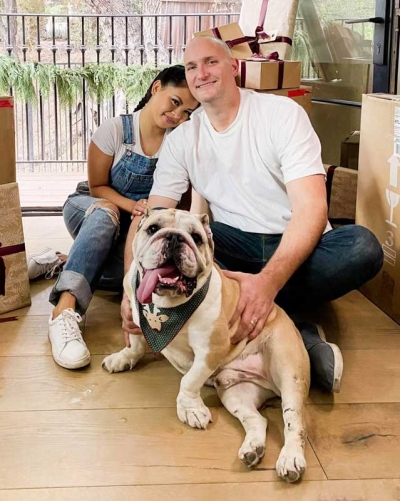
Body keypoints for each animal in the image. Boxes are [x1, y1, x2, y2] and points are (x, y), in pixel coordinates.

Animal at [102, 207, 310, 480]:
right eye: (153, 229)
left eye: (196, 238)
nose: (174, 237)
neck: (167, 306)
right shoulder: (134, 311)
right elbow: (135, 343)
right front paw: (124, 357)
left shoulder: (211, 350)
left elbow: (190, 380)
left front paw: (189, 409)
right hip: (236, 394)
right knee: (258, 420)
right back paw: (253, 448)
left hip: (288, 369)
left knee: (294, 421)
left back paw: (290, 459)